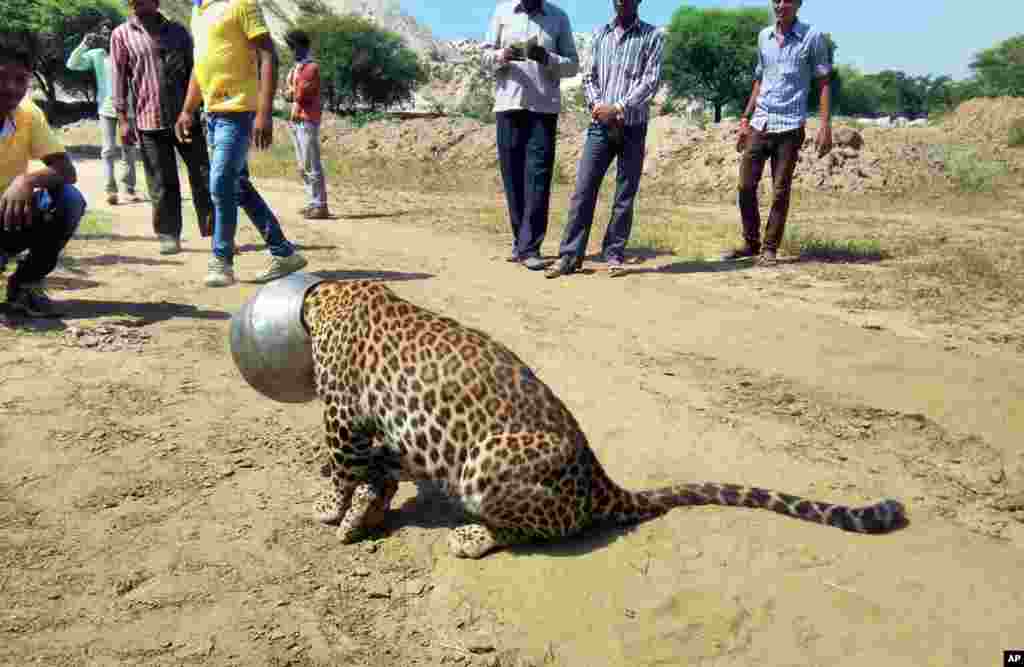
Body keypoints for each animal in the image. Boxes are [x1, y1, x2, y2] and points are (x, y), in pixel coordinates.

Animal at [301, 278, 905, 561]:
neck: (332, 295)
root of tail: (597, 475)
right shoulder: (384, 429)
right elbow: (375, 475)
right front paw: (363, 514)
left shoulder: (340, 412)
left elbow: (342, 468)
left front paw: (332, 508)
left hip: (487, 461)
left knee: (539, 527)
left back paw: (472, 535)